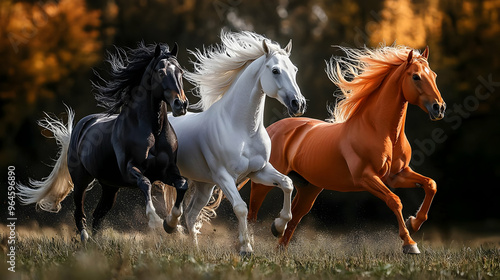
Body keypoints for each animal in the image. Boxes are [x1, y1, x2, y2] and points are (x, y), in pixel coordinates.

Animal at [18, 42, 188, 241]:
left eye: (181, 71)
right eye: (161, 72)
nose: (181, 104)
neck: (153, 130)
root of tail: (80, 128)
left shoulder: (166, 171)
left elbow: (182, 184)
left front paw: (171, 224)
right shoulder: (130, 169)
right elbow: (145, 183)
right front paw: (154, 220)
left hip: (110, 187)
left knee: (98, 215)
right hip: (81, 180)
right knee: (80, 213)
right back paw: (85, 239)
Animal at [166, 31, 304, 256]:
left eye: (294, 70)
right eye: (275, 70)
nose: (298, 104)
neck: (242, 130)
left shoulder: (259, 171)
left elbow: (287, 183)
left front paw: (278, 227)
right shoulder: (224, 176)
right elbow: (240, 207)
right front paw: (246, 248)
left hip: (204, 186)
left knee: (191, 214)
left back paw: (193, 249)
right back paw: (168, 225)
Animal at [248, 46, 448, 254]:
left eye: (433, 75)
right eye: (416, 77)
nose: (439, 108)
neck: (379, 131)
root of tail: (271, 129)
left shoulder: (397, 175)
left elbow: (431, 184)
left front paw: (414, 223)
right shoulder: (365, 177)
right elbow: (394, 200)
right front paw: (409, 243)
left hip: (309, 188)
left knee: (294, 219)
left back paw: (278, 238)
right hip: (264, 182)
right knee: (252, 213)